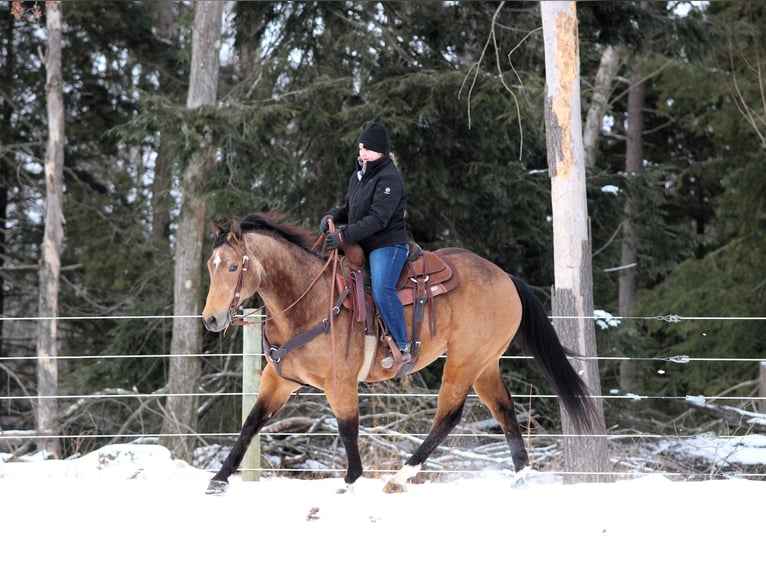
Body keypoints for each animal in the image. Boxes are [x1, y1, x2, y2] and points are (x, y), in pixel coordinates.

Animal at [201, 212, 596, 496]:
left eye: (234, 266)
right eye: (210, 265)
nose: (211, 319)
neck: (309, 303)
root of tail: (506, 278)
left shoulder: (340, 382)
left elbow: (347, 429)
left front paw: (351, 479)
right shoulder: (278, 379)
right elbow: (251, 423)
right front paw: (219, 478)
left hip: (464, 361)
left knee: (449, 415)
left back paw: (401, 476)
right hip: (485, 364)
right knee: (504, 410)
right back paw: (520, 475)